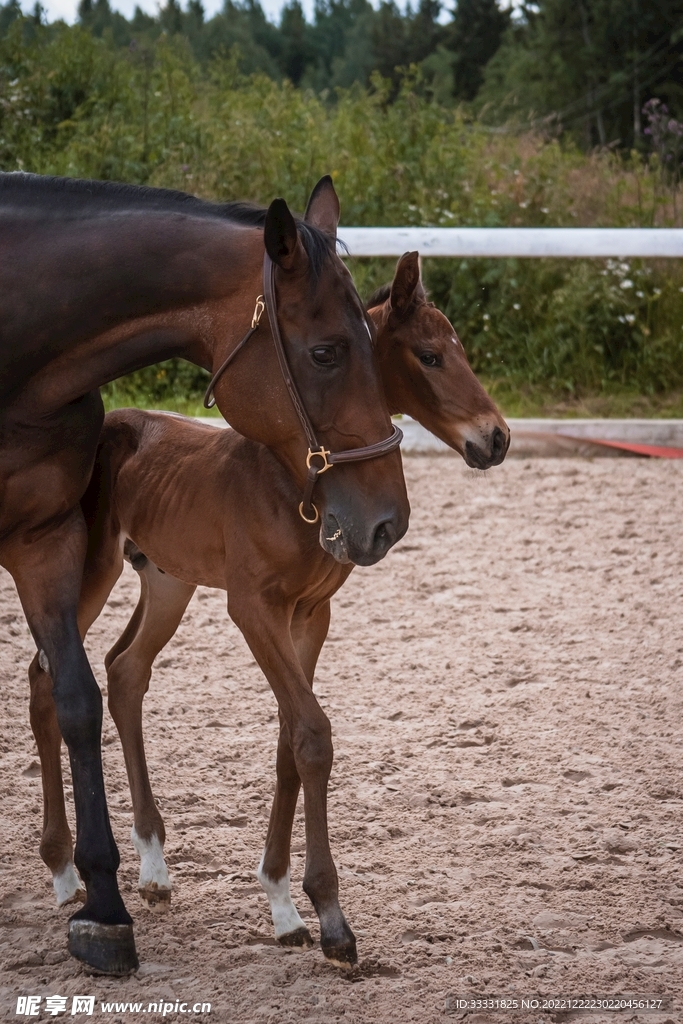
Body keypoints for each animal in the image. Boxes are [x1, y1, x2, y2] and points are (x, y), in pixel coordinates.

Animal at [27, 251, 509, 972]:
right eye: (429, 356)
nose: (496, 438)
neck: (293, 481)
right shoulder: (253, 608)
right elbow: (310, 733)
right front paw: (329, 917)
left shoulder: (311, 613)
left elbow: (290, 740)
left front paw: (282, 905)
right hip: (89, 570)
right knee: (45, 676)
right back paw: (64, 873)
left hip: (167, 581)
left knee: (125, 671)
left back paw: (154, 867)